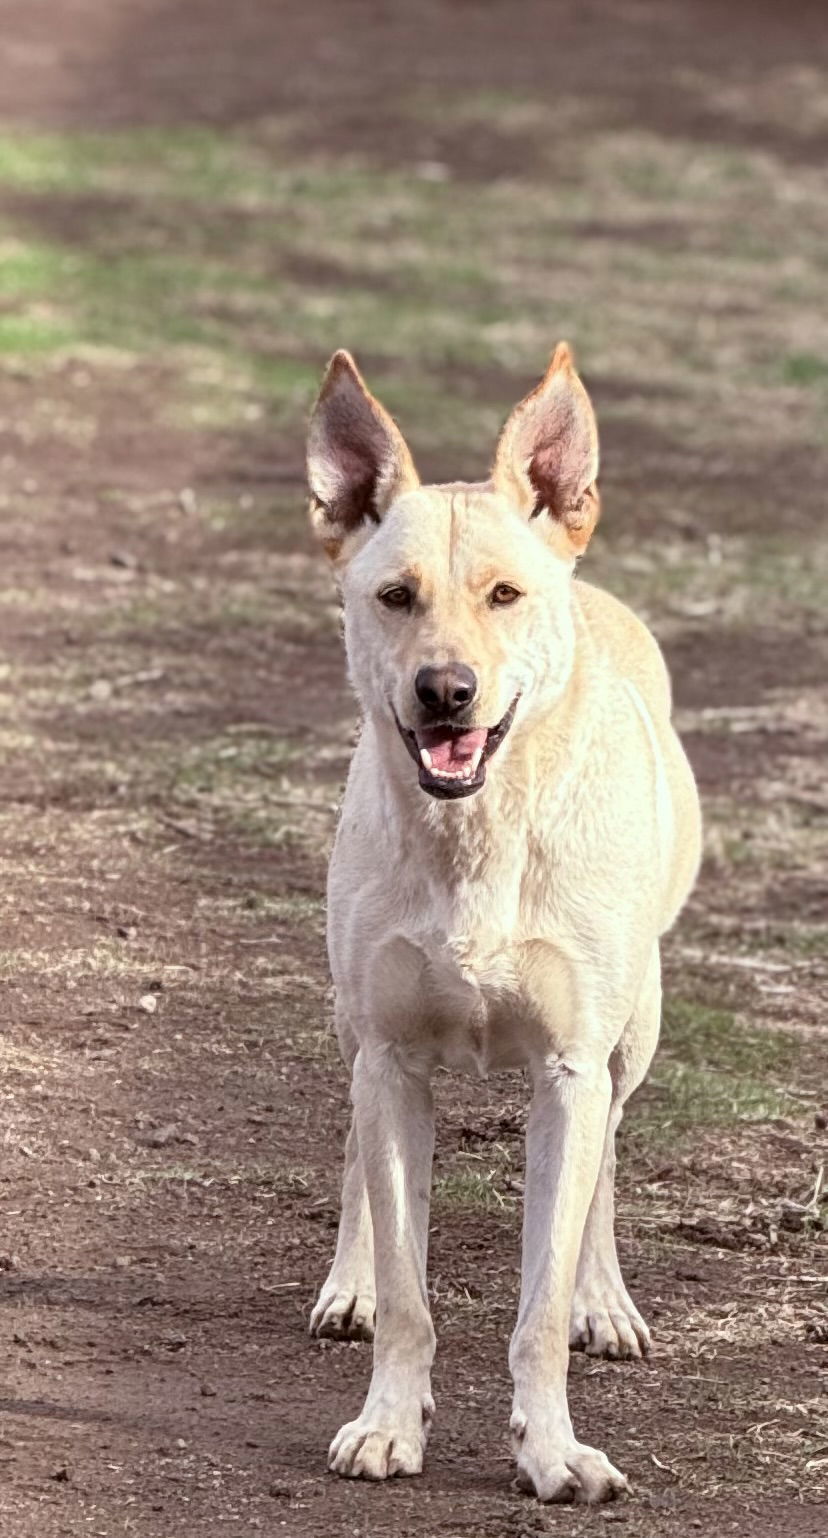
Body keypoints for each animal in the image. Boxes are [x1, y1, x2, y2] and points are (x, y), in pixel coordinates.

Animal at [301, 346, 695, 1501]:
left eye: (504, 594)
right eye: (395, 596)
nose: (446, 690)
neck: (475, 829)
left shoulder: (570, 1065)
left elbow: (540, 1300)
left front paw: (554, 1449)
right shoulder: (388, 1052)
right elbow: (406, 1280)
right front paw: (387, 1424)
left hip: (635, 1028)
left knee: (605, 1162)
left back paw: (606, 1300)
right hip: (350, 1020)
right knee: (357, 1148)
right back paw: (345, 1281)